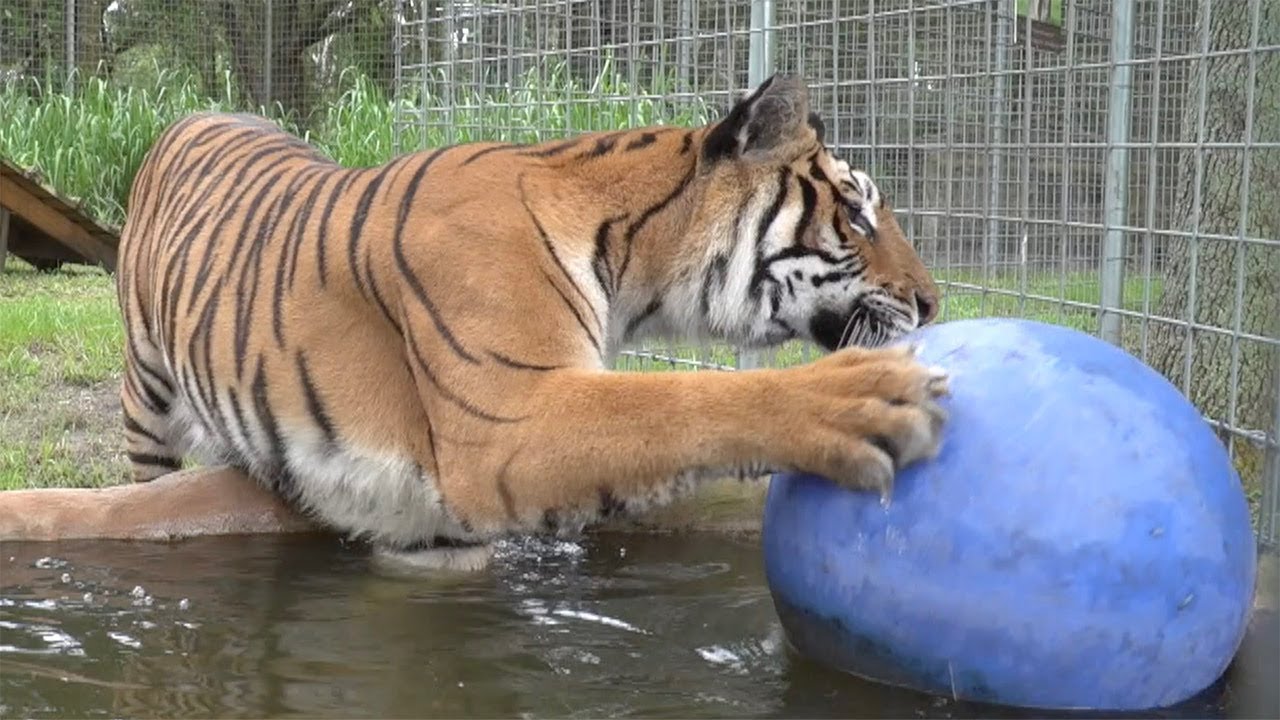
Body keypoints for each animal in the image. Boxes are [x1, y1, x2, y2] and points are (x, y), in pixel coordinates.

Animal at [113, 74, 948, 568]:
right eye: (856, 214)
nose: (934, 303)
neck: (634, 265)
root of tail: (192, 112)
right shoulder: (507, 421)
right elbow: (683, 402)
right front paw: (862, 397)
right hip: (145, 398)